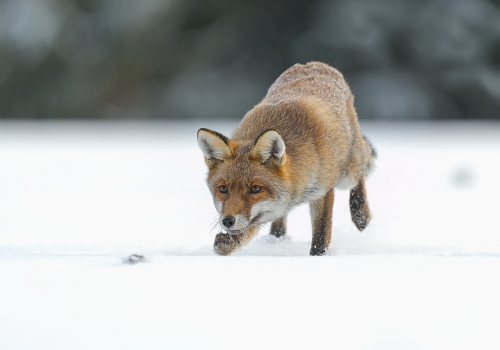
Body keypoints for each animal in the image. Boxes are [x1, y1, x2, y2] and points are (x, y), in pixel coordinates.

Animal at [198, 61, 376, 256]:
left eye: (255, 189)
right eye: (223, 189)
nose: (228, 221)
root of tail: (315, 64)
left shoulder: (323, 191)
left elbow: (321, 235)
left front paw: (318, 257)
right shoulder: (268, 210)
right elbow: (249, 227)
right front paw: (229, 243)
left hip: (347, 174)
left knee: (361, 171)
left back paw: (361, 214)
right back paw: (276, 239)